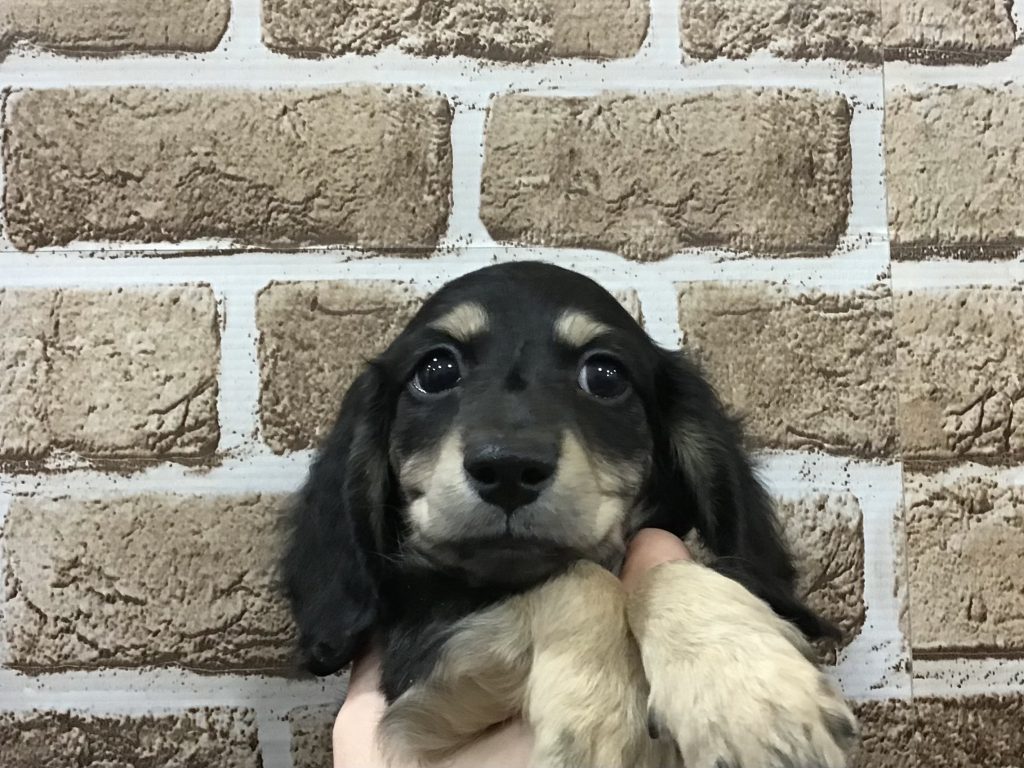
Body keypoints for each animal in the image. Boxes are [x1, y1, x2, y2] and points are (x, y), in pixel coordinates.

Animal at [282, 261, 859, 767]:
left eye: (604, 376)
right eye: (436, 370)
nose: (509, 468)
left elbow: (668, 572)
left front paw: (750, 697)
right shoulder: (417, 681)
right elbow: (581, 578)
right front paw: (600, 717)